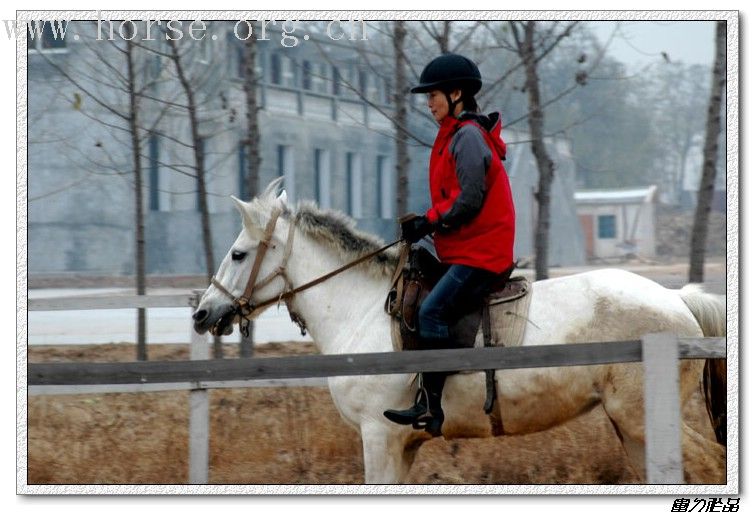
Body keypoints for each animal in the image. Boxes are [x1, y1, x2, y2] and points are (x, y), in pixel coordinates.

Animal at [192, 182, 724, 488]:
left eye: (238, 254)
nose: (202, 313)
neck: (360, 310)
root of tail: (678, 300)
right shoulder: (401, 446)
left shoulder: (379, 437)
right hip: (631, 426)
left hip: (640, 417)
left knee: (708, 464)